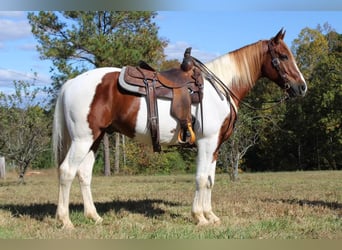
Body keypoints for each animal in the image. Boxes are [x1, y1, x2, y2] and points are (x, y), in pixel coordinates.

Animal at [52, 28, 308, 229]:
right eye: (283, 56)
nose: (302, 87)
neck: (219, 89)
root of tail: (71, 83)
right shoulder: (206, 142)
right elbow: (200, 178)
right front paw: (199, 217)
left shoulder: (215, 147)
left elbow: (210, 179)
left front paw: (210, 215)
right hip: (83, 139)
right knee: (66, 172)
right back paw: (65, 221)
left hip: (94, 139)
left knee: (84, 174)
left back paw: (94, 216)